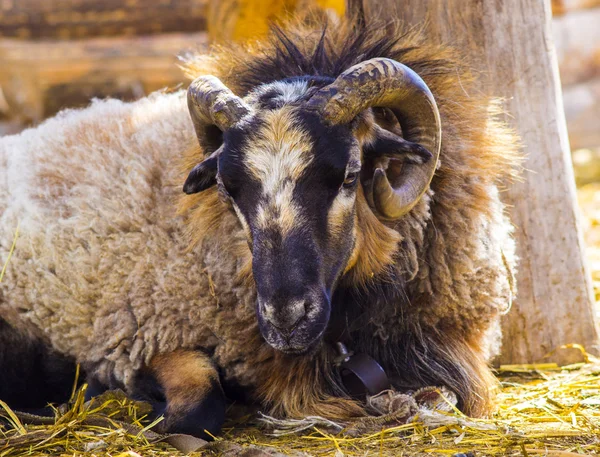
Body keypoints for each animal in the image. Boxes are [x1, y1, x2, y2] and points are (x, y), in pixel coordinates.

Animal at [0, 13, 520, 434]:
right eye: (228, 189)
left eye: (351, 175)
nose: (285, 318)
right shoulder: (143, 336)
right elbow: (198, 406)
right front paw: (113, 395)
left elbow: (448, 396)